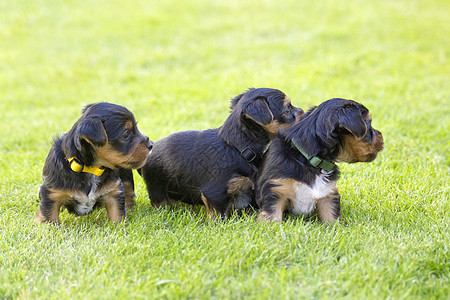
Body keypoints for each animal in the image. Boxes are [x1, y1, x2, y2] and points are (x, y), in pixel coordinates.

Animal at [141, 88, 302, 217]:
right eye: (287, 110)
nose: (302, 111)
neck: (237, 147)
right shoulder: (214, 193)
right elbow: (218, 214)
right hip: (157, 186)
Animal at [256, 98, 384, 223]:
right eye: (368, 123)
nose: (381, 135)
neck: (308, 159)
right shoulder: (275, 189)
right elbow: (273, 216)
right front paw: (273, 227)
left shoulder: (328, 193)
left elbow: (331, 216)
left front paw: (335, 227)